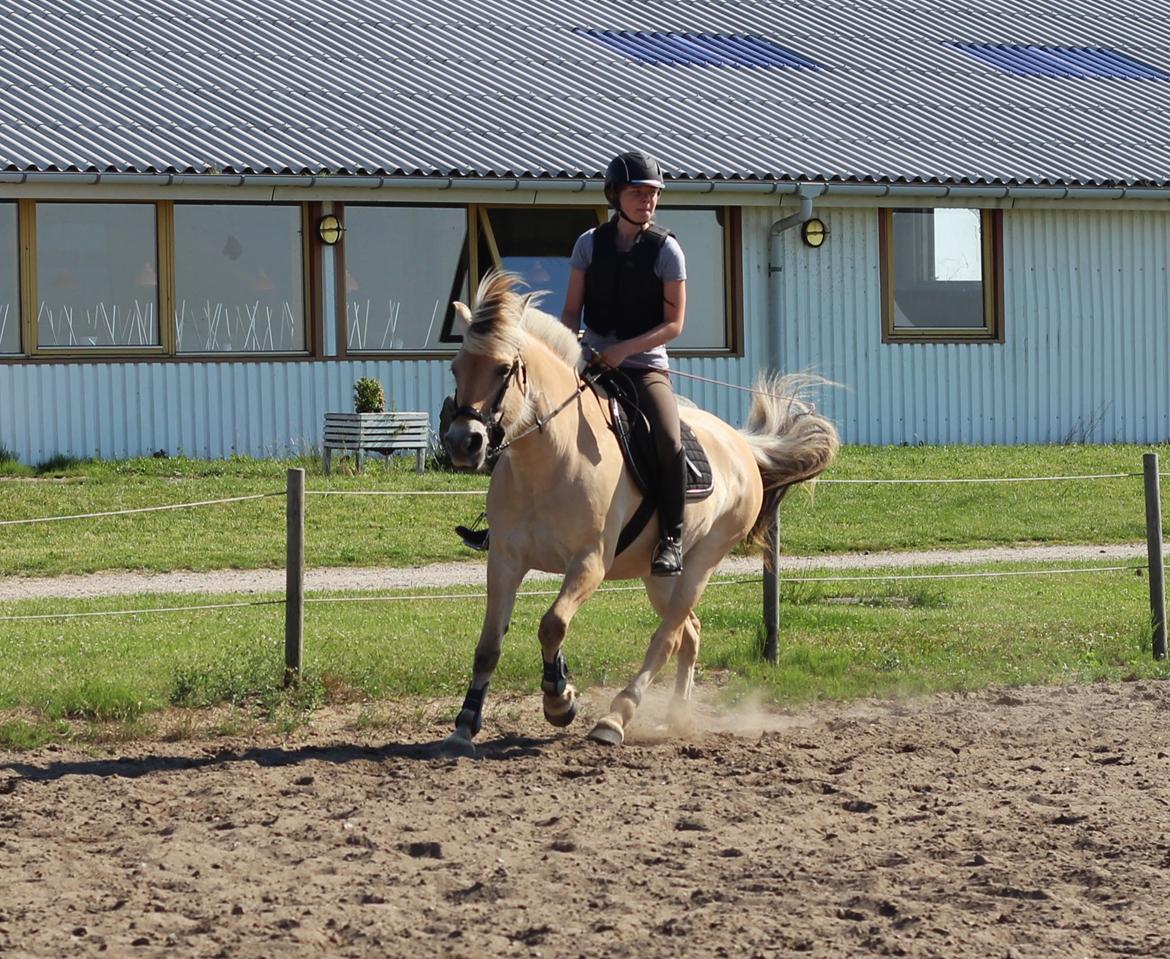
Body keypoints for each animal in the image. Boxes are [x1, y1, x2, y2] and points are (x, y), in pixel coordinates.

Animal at [442, 265, 837, 753]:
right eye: (456, 367)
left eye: (502, 368)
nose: (463, 442)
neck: (548, 460)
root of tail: (742, 445)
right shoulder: (505, 561)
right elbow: (488, 645)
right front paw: (465, 724)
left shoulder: (589, 563)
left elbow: (552, 625)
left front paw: (560, 700)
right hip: (659, 576)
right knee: (690, 632)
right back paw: (677, 716)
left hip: (701, 564)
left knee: (667, 638)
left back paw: (615, 719)